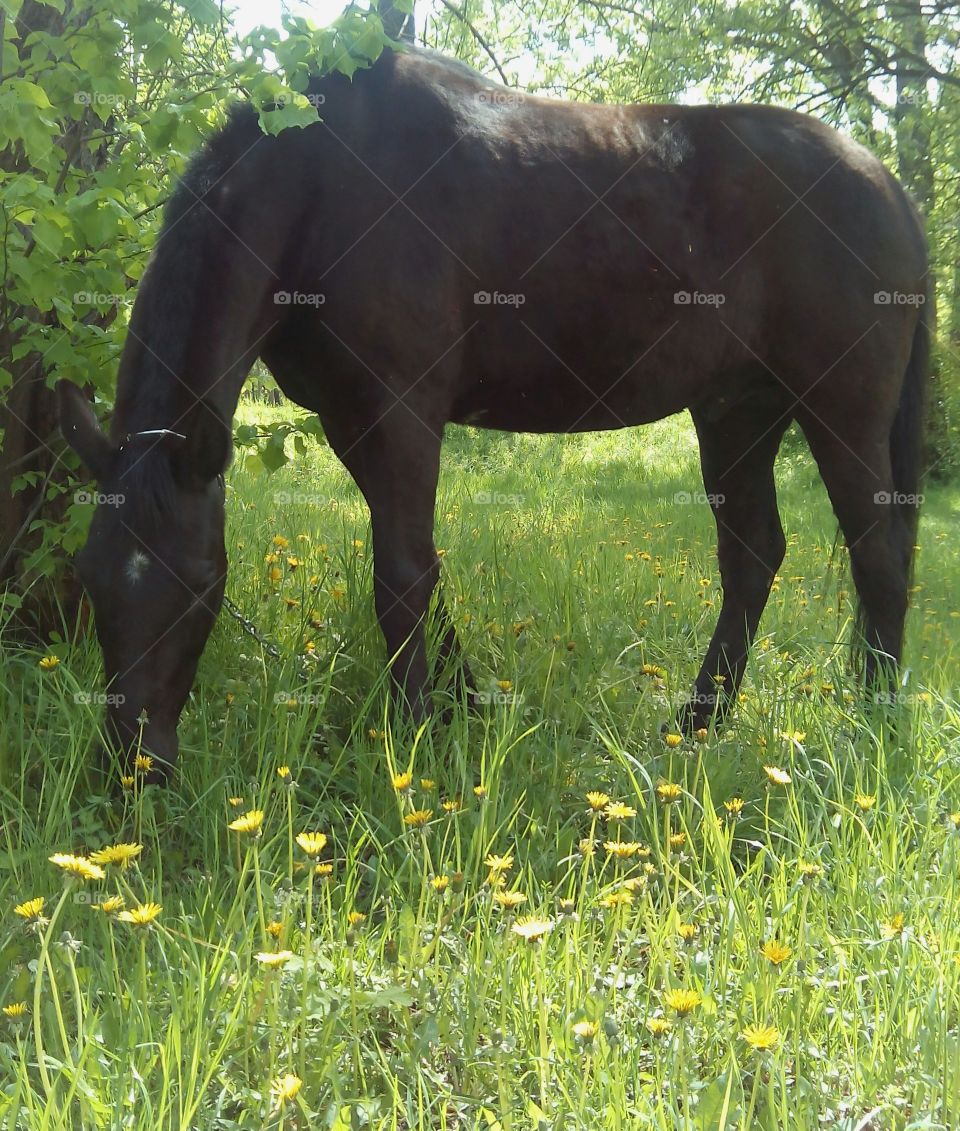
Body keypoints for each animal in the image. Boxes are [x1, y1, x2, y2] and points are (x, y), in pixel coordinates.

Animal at [56, 41, 927, 769]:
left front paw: (414, 738)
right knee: (753, 556)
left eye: (201, 585)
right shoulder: (350, 420)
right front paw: (461, 707)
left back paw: (871, 729)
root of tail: (884, 180)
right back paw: (696, 723)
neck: (322, 183)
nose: (132, 764)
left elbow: (401, 575)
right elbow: (422, 568)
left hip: (840, 410)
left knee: (877, 557)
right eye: (92, 580)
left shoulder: (403, 409)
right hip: (739, 413)